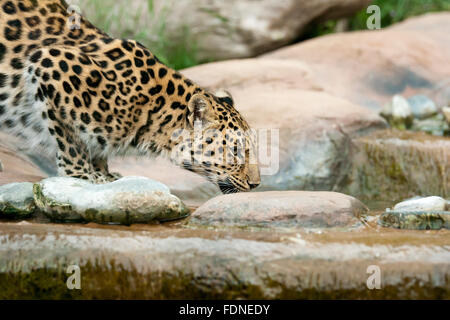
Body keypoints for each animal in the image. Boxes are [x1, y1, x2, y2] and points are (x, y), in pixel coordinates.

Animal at [0, 0, 260, 192]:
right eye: (235, 151)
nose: (256, 184)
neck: (151, 107)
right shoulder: (48, 63)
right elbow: (71, 139)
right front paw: (81, 176)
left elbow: (95, 147)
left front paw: (104, 174)